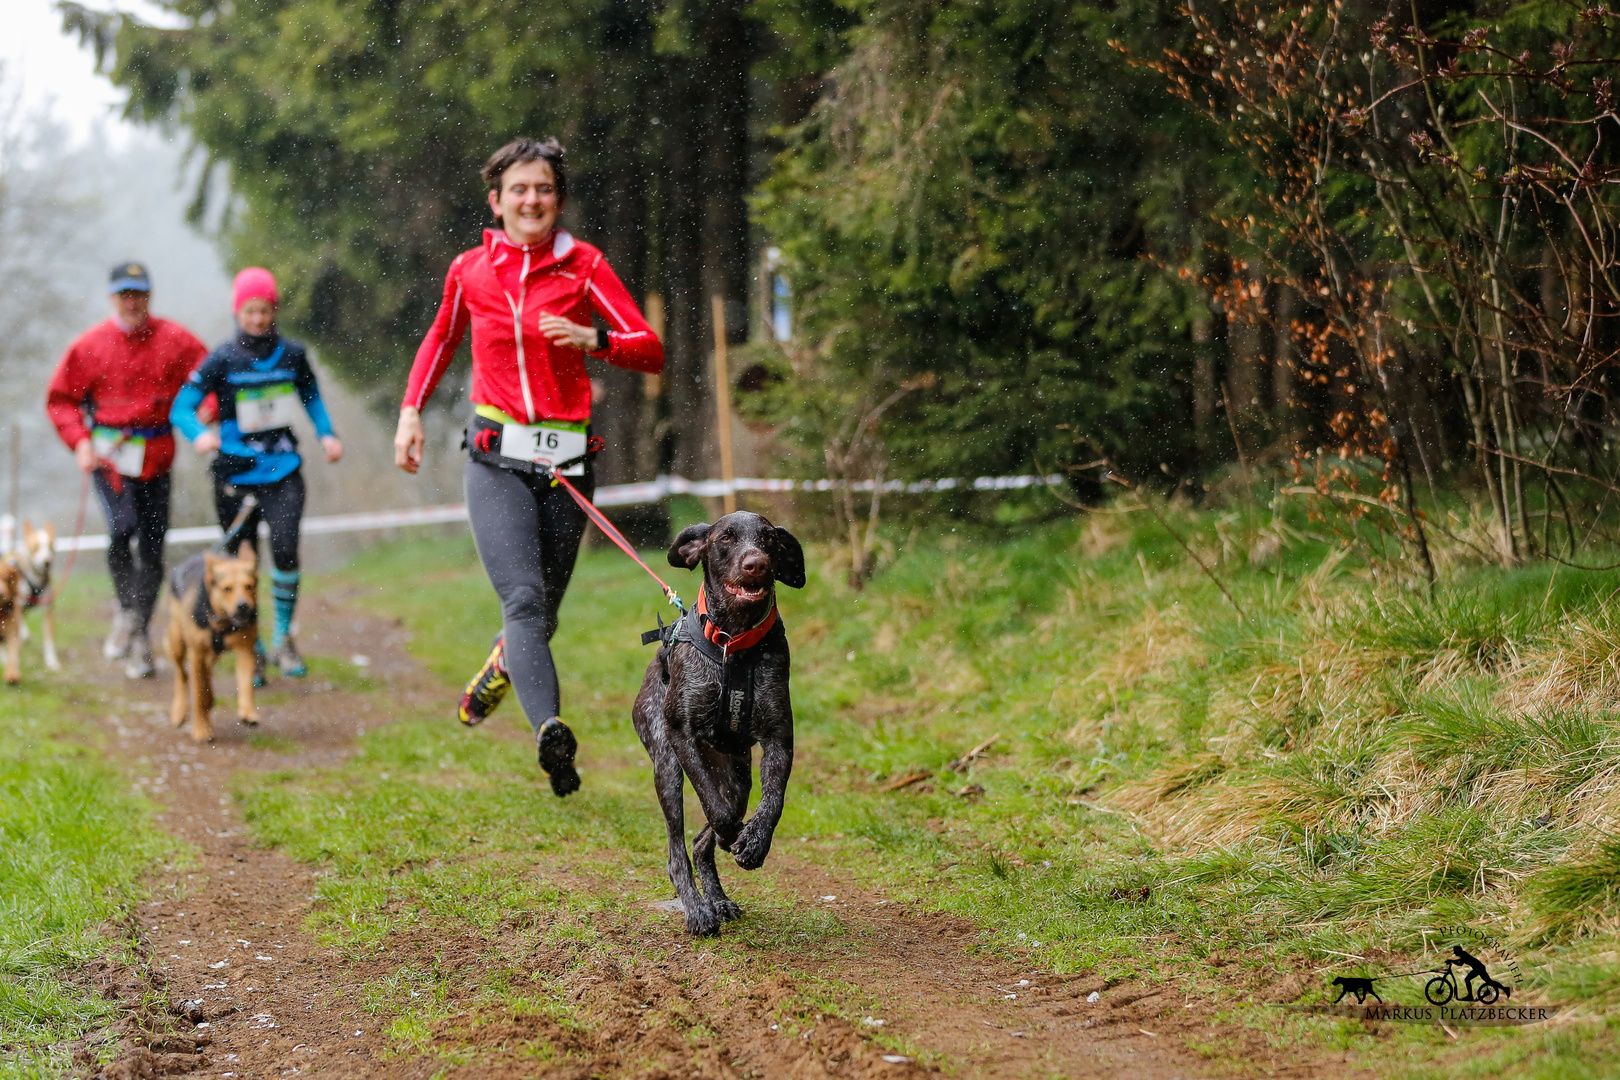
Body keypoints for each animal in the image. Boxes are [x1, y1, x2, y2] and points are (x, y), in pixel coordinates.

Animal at [164, 550, 259, 744]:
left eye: (249, 586)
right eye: (227, 588)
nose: (243, 606)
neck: (223, 623)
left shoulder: (245, 648)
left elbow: (245, 682)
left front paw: (248, 712)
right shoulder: (196, 653)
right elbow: (199, 694)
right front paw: (201, 730)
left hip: (210, 653)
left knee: (205, 675)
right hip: (177, 640)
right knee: (181, 674)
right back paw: (179, 710)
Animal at [635, 514, 806, 939]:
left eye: (770, 540)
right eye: (726, 538)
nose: (756, 564)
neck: (735, 643)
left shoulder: (780, 738)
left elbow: (773, 800)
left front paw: (755, 841)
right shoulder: (682, 735)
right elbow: (719, 812)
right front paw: (735, 834)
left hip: (737, 776)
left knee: (700, 842)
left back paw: (718, 898)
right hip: (667, 766)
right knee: (679, 850)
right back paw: (698, 909)